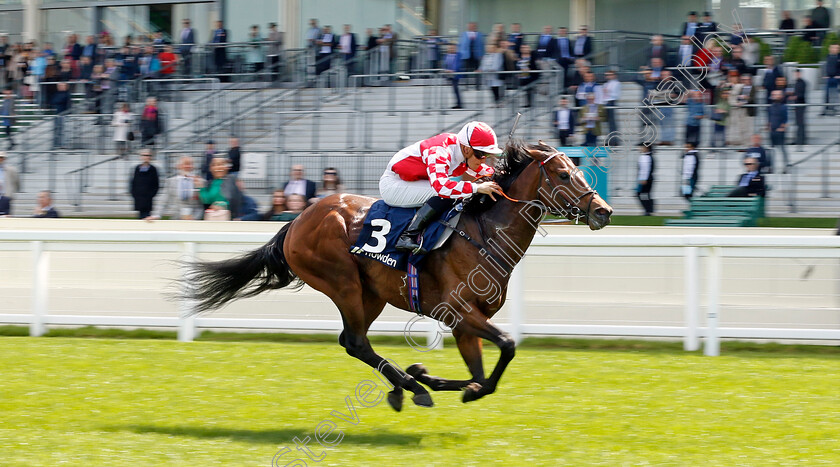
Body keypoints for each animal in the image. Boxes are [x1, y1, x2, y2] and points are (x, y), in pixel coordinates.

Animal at [187, 141, 612, 412]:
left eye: (578, 170)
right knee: (356, 341)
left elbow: (479, 371)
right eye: (563, 174)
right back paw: (410, 388)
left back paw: (404, 387)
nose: (604, 212)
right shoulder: (459, 310)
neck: (483, 232)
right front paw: (432, 379)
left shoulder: (466, 321)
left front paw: (435, 377)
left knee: (352, 341)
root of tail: (298, 219)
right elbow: (506, 346)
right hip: (342, 282)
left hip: (371, 293)